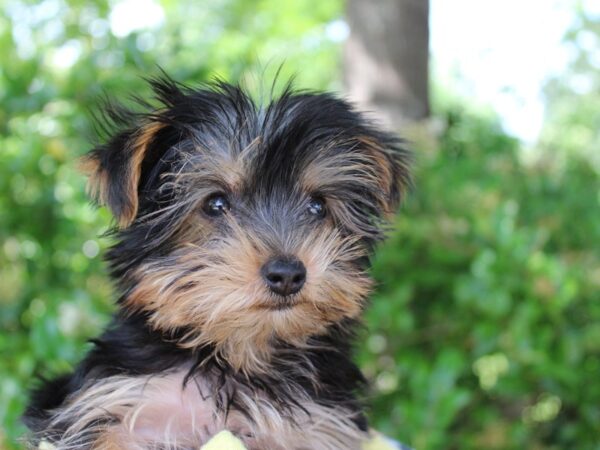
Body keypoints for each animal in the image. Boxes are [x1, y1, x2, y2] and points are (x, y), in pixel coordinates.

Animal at [22, 75, 408, 448]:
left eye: (317, 206)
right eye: (215, 204)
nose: (287, 274)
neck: (238, 353)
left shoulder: (322, 425)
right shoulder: (113, 402)